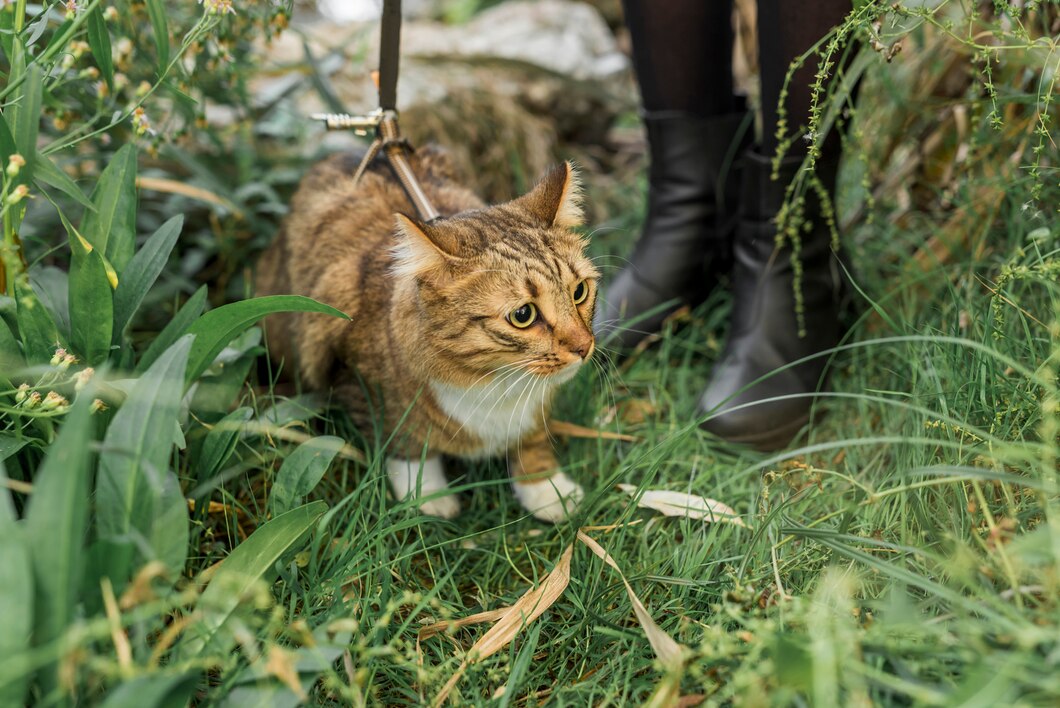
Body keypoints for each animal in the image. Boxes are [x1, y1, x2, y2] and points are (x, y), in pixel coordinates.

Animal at [255, 149, 597, 523]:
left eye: (579, 292)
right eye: (524, 315)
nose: (584, 346)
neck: (496, 383)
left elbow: (532, 438)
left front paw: (546, 489)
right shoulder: (360, 381)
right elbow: (406, 441)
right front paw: (427, 494)